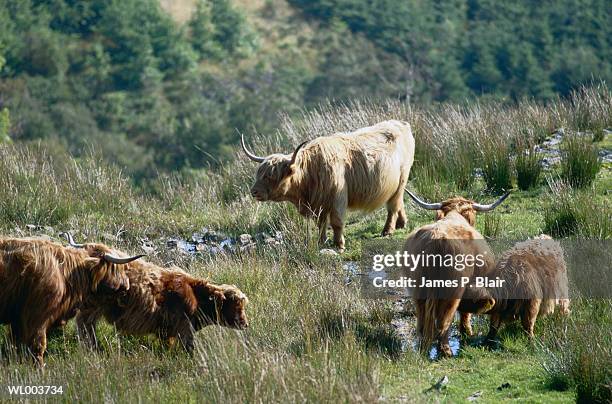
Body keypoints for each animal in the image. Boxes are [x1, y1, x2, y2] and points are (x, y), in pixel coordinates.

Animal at [0, 237, 140, 366]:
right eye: (116, 268)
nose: (127, 285)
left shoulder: (18, 321)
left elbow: (13, 347)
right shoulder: (36, 318)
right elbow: (38, 347)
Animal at [63, 235, 250, 352]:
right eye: (236, 305)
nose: (245, 323)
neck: (196, 295)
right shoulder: (183, 328)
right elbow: (187, 349)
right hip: (93, 306)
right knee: (84, 324)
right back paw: (92, 349)